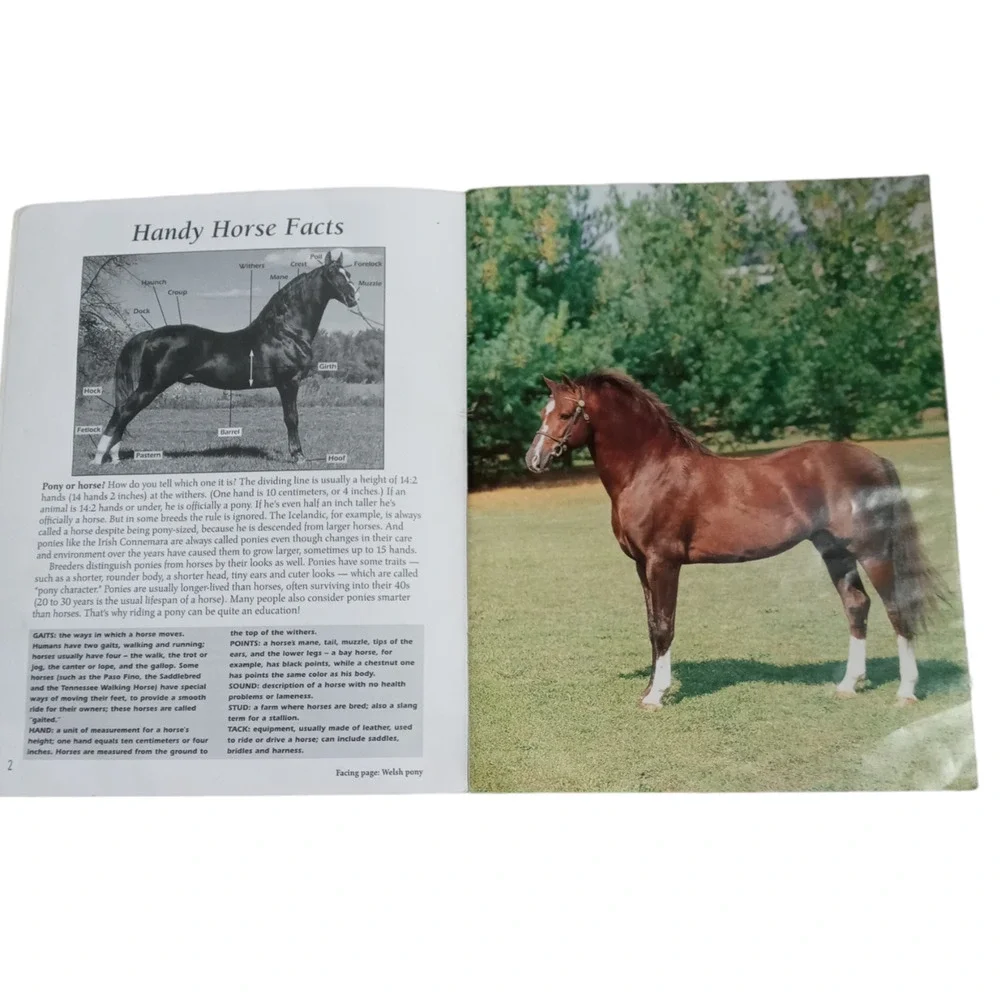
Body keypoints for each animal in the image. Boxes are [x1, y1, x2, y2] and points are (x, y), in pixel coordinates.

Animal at [90, 251, 358, 465]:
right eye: (334, 274)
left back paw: (113, 458)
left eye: (348, 273)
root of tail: (150, 334)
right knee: (122, 412)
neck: (285, 331)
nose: (354, 298)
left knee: (123, 415)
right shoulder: (288, 383)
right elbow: (292, 419)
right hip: (151, 386)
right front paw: (298, 456)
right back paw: (98, 459)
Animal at [525, 370, 940, 709]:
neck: (649, 470)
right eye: (543, 412)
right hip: (835, 551)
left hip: (873, 552)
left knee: (896, 607)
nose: (534, 459)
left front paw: (657, 696)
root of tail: (877, 461)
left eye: (566, 414)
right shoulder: (642, 565)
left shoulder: (663, 562)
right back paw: (848, 685)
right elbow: (651, 626)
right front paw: (648, 690)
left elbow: (664, 625)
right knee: (856, 605)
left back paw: (906, 692)